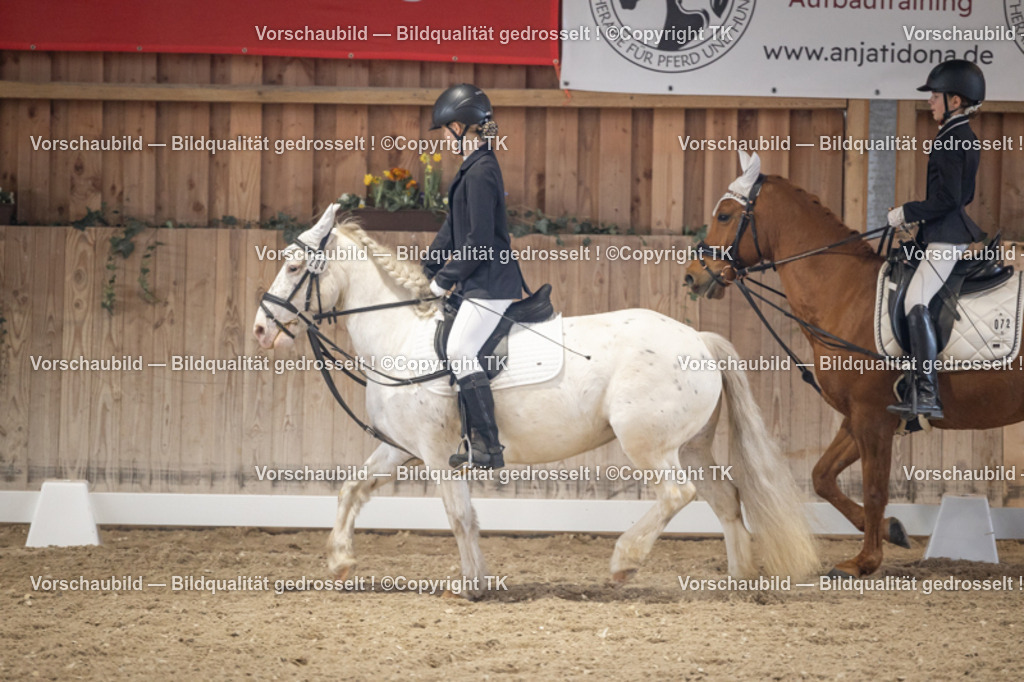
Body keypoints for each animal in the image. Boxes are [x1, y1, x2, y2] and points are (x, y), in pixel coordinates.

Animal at [252, 205, 818, 598]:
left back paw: (624, 561)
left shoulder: (436, 455)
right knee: (725, 499)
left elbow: (459, 516)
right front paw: (341, 562)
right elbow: (351, 489)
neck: (400, 336)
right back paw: (737, 582)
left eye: (294, 267)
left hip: (648, 444)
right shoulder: (400, 447)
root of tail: (698, 338)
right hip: (692, 446)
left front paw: (471, 586)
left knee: (678, 495)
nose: (260, 330)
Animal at [685, 150, 1024, 578]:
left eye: (725, 215)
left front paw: (863, 561)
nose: (691, 277)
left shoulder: (873, 417)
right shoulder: (857, 416)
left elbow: (874, 488)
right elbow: (822, 477)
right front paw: (890, 530)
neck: (844, 291)